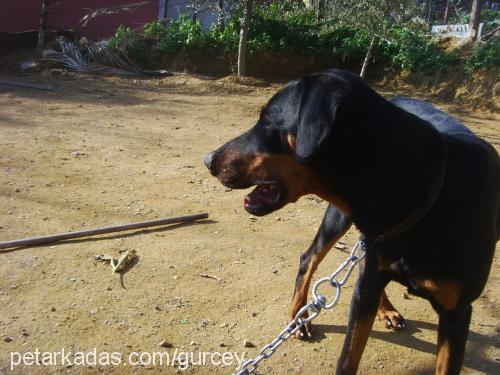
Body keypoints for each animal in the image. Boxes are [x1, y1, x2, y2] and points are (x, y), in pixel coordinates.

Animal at [204, 69, 500, 374]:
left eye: (269, 120)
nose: (208, 160)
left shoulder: (457, 313)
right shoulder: (364, 292)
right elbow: (347, 359)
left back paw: (386, 309)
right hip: (338, 220)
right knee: (310, 258)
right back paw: (299, 317)